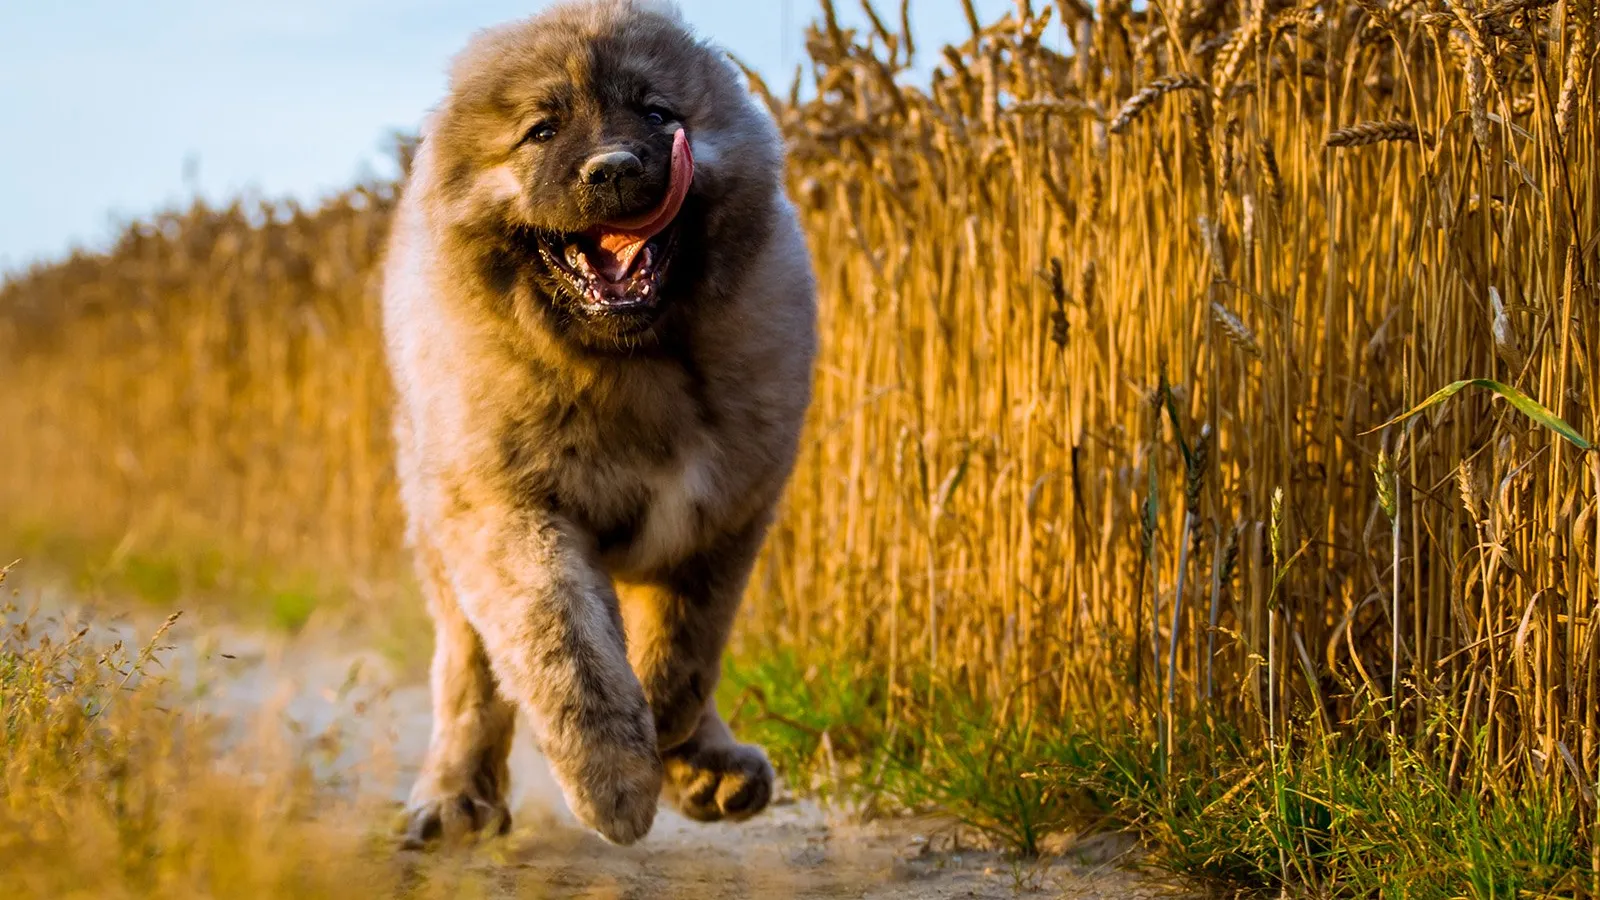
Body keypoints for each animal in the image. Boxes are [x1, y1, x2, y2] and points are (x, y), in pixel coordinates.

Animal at [380, 0, 819, 845]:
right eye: (542, 130)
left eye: (657, 113)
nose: (613, 168)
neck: (629, 368)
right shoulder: (511, 514)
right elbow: (570, 652)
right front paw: (615, 779)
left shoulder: (725, 512)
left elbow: (683, 646)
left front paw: (673, 739)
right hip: (440, 523)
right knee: (468, 676)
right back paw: (453, 796)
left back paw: (711, 766)